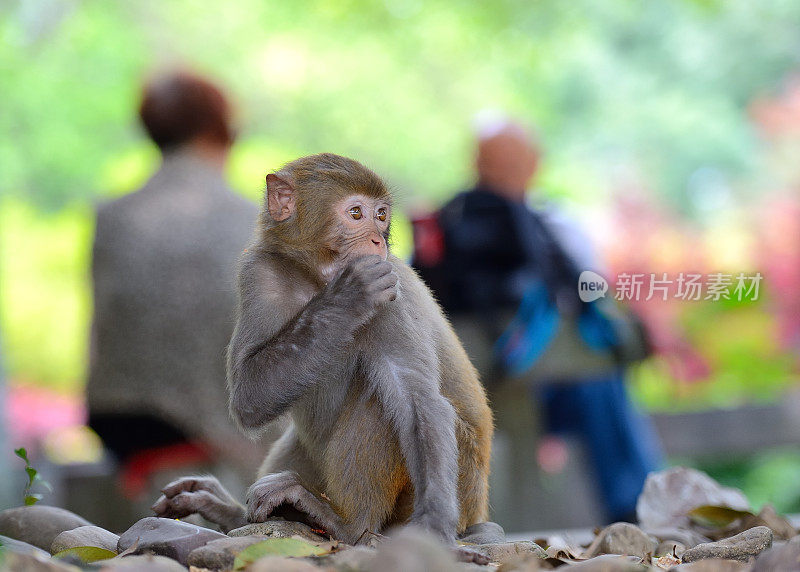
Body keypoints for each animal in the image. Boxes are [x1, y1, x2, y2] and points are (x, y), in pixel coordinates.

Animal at [152, 152, 494, 564]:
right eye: (356, 214)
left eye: (381, 215)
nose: (378, 240)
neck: (316, 278)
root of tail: (478, 508)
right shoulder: (259, 271)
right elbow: (248, 395)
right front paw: (349, 297)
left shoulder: (392, 292)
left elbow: (418, 402)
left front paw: (434, 529)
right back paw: (236, 513)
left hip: (454, 488)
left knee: (381, 402)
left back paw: (343, 522)